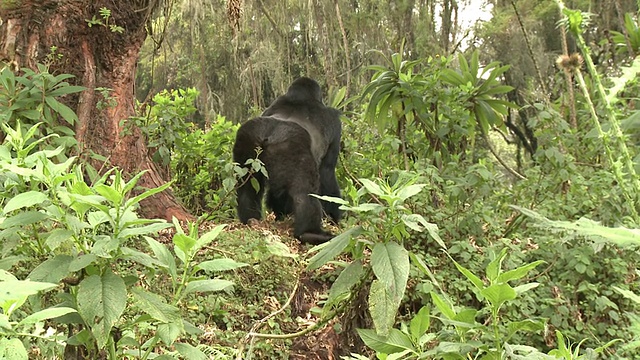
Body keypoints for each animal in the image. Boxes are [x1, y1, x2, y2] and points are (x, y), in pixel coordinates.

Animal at [232, 76, 342, 245]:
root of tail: (269, 133)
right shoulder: (334, 122)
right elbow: (327, 173)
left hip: (246, 138)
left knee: (247, 186)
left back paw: (250, 219)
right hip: (291, 145)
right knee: (304, 192)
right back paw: (309, 233)